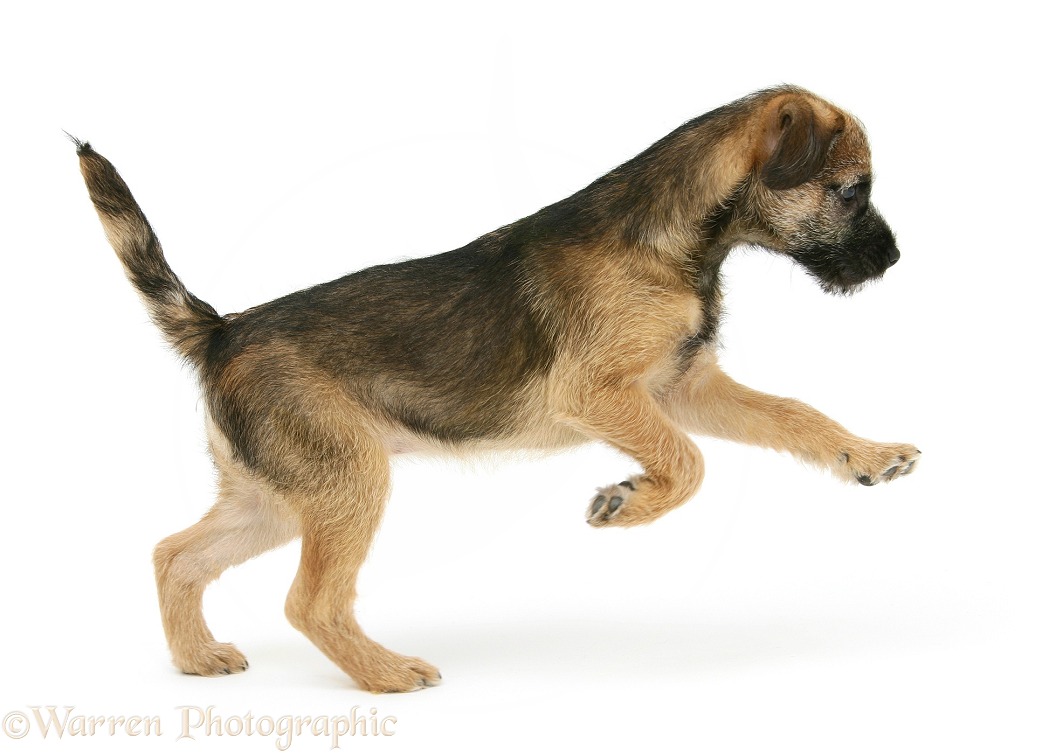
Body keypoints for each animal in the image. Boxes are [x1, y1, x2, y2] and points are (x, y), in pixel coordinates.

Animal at [73, 85, 921, 691]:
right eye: (853, 190)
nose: (893, 260)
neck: (672, 239)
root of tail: (221, 332)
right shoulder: (604, 395)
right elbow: (688, 464)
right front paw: (627, 501)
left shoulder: (685, 386)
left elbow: (794, 413)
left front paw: (866, 455)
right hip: (347, 483)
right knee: (307, 601)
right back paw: (386, 674)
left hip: (278, 497)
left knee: (174, 555)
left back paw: (196, 659)